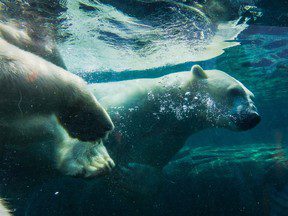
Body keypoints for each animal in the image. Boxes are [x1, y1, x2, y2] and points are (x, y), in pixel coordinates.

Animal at [91, 65, 260, 171]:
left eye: (251, 96)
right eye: (234, 91)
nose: (253, 117)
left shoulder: (170, 135)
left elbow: (149, 157)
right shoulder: (129, 103)